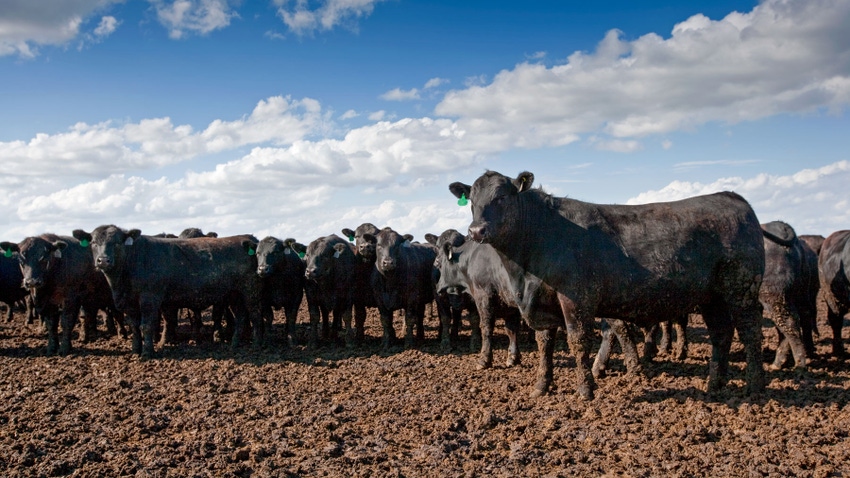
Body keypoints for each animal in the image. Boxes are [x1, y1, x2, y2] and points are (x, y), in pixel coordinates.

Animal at [73, 226, 262, 356]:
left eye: (117, 242)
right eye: (93, 242)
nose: (103, 260)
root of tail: (249, 238)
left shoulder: (150, 298)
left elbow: (147, 325)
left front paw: (148, 352)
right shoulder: (129, 302)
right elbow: (134, 326)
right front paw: (135, 350)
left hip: (250, 291)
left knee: (255, 315)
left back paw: (257, 344)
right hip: (234, 295)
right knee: (241, 317)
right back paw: (234, 343)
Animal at [454, 170, 764, 398]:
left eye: (501, 198)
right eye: (471, 201)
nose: (476, 231)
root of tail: (731, 196)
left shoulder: (576, 298)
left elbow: (578, 341)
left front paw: (585, 390)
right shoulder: (540, 303)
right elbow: (545, 344)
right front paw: (541, 387)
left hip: (742, 291)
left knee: (751, 332)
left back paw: (753, 386)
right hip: (713, 297)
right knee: (721, 334)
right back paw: (714, 385)